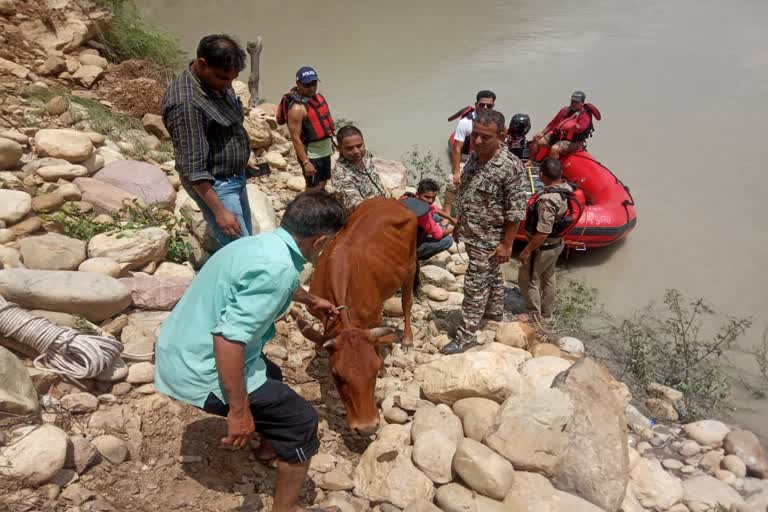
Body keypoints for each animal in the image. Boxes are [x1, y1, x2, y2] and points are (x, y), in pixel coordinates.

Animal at [300, 198, 420, 434]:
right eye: (336, 375)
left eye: (374, 370)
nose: (367, 428)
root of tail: (391, 201)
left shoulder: (373, 318)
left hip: (410, 265)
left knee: (407, 303)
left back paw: (408, 339)